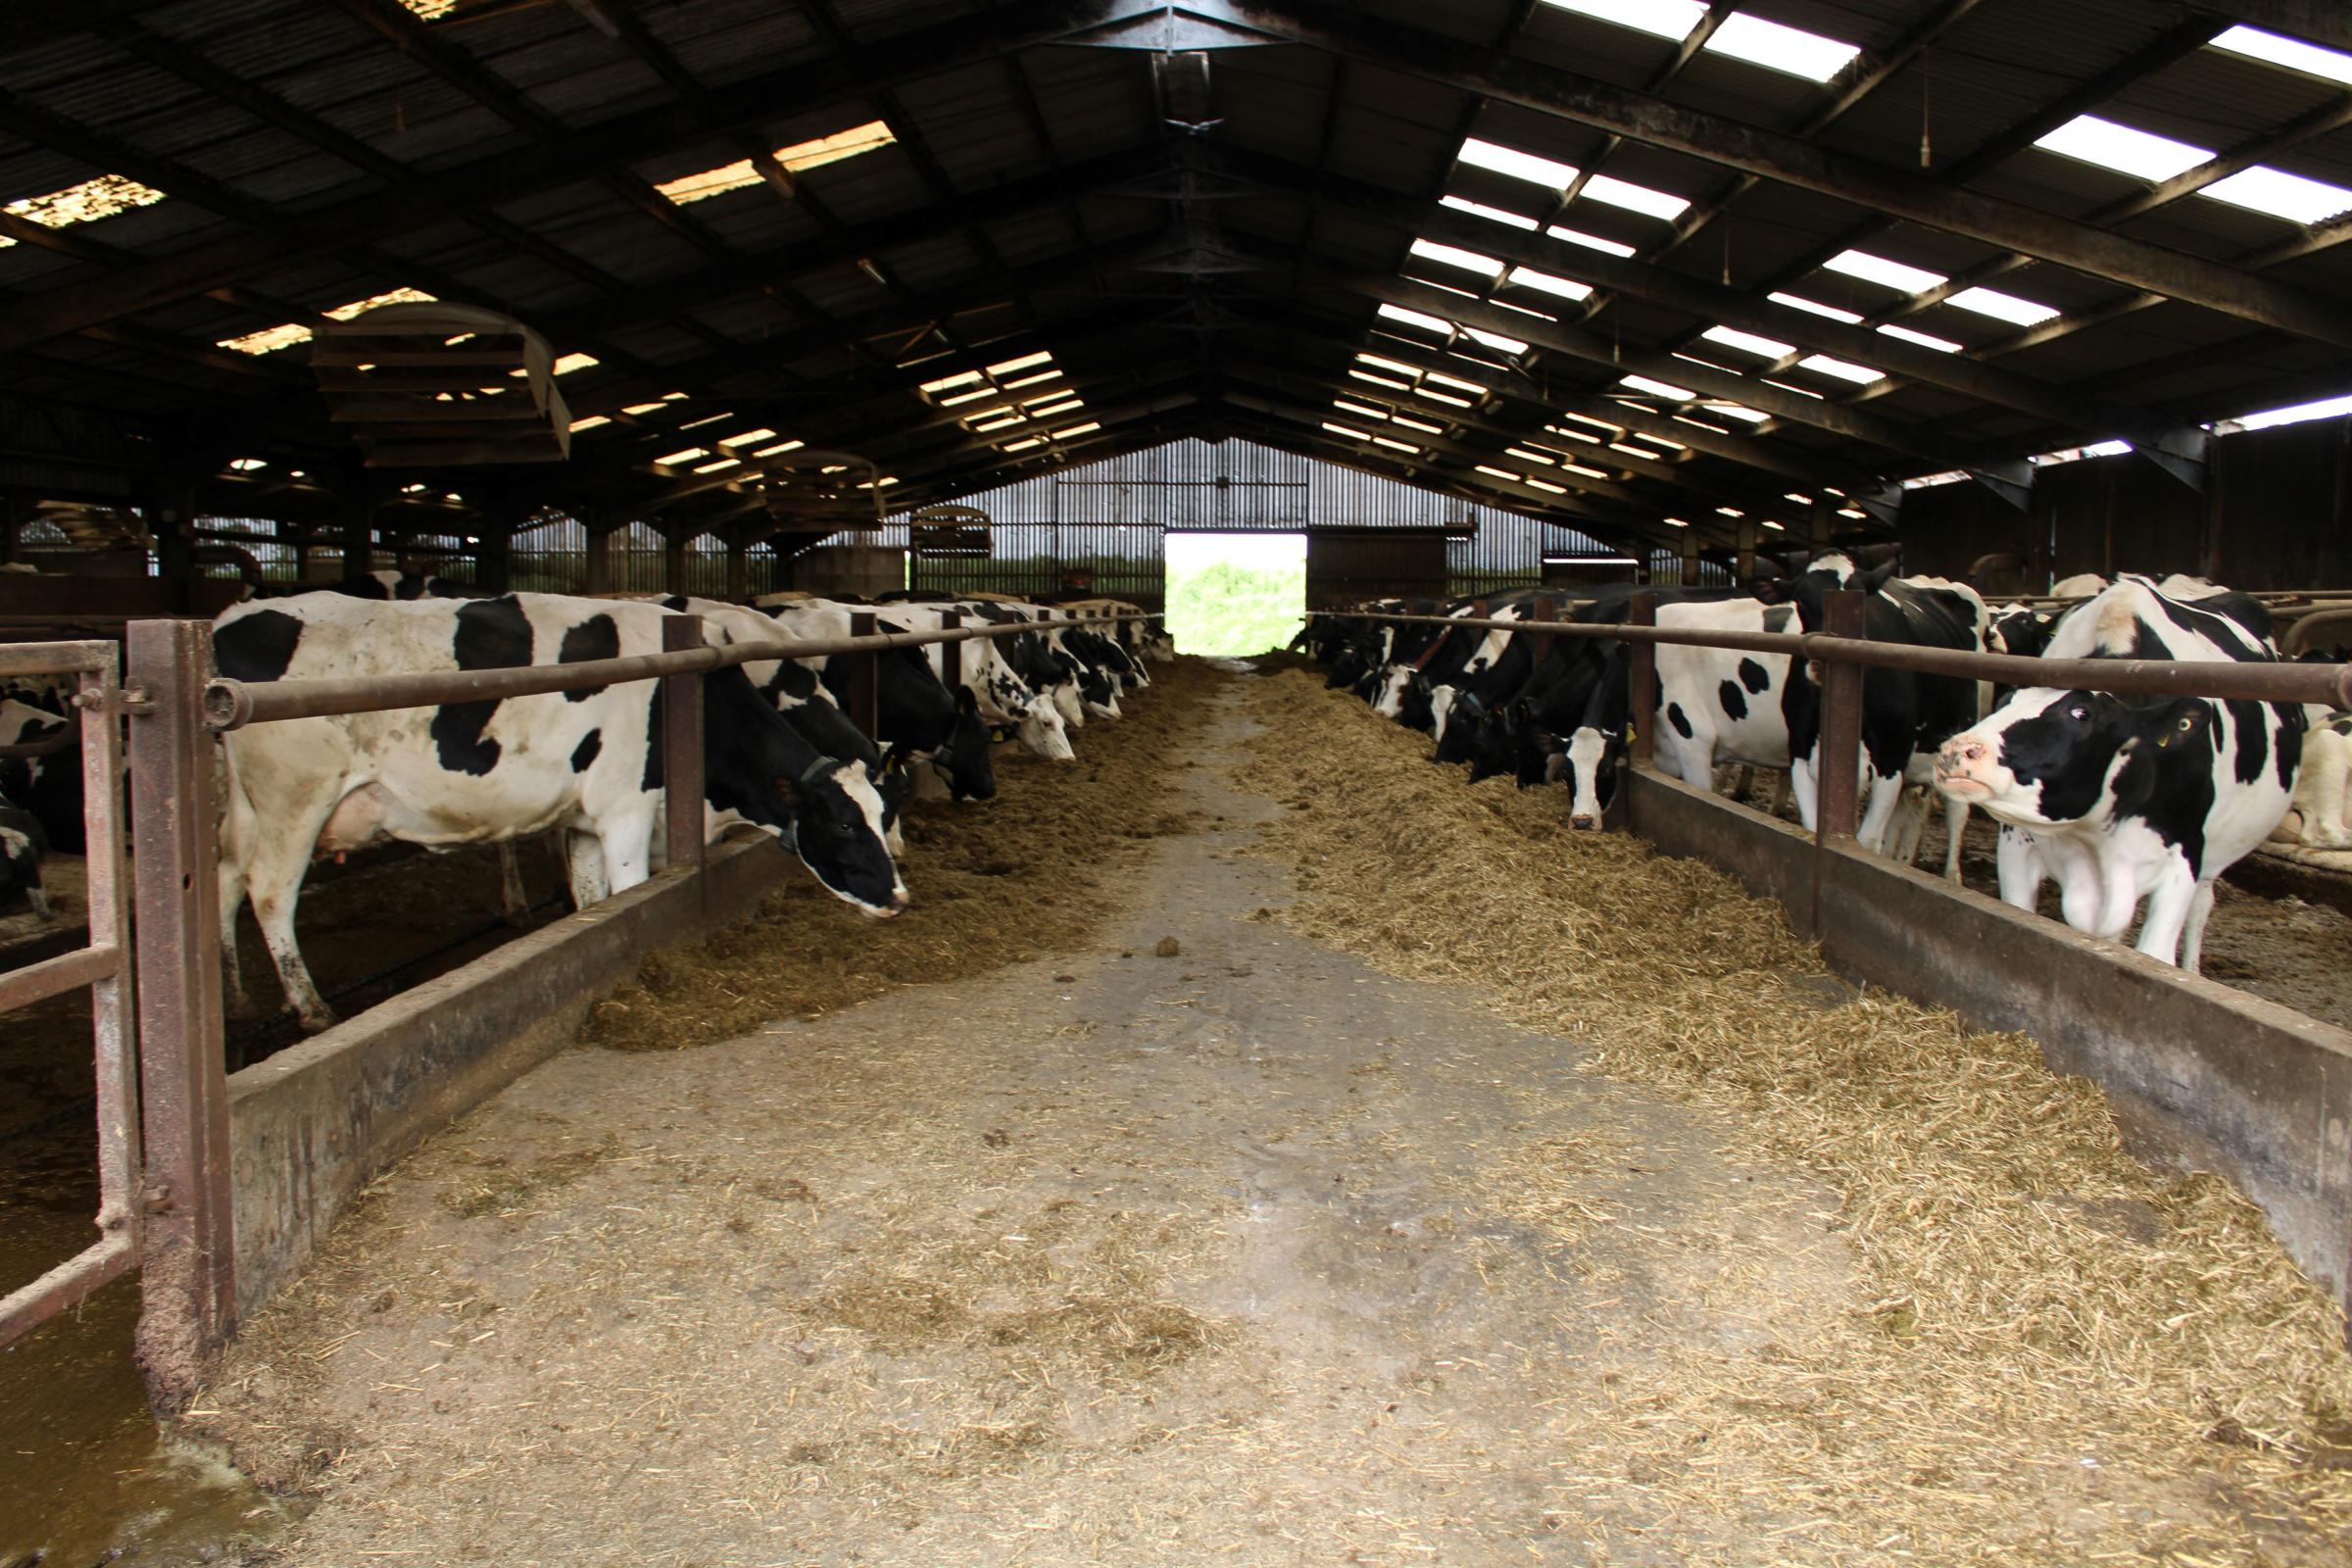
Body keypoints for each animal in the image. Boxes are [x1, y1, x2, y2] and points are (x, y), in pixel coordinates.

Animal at [214, 592, 907, 1029]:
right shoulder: (625, 809)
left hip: (247, 805)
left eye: (881, 813)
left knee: (224, 876)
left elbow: (592, 902)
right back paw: (313, 1010)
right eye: (845, 823)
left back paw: (238, 997)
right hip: (296, 795)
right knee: (269, 890)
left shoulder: (582, 822)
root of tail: (230, 619)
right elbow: (632, 893)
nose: (900, 897)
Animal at [1937, 575, 2305, 968]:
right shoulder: (2016, 844)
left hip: (2214, 857)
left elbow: (2156, 953)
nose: (1957, 750)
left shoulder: (2182, 862)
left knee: (2202, 907)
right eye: (2006, 701)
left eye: (2081, 713)